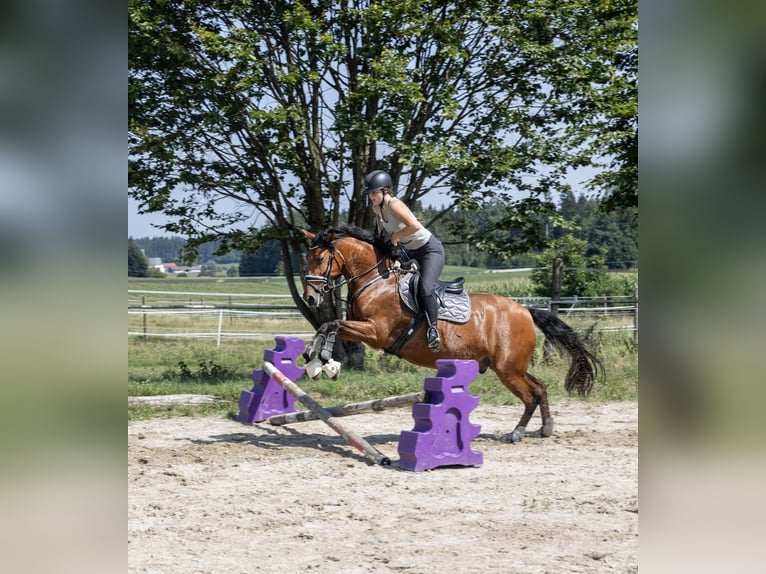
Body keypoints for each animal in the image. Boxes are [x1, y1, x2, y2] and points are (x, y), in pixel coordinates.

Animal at [300, 225, 603, 442]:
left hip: (508, 369)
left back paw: (516, 432)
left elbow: (331, 324)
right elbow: (330, 326)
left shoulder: (376, 333)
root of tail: (526, 310)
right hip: (510, 366)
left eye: (321, 258)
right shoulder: (361, 329)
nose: (310, 298)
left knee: (530, 396)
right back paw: (546, 428)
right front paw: (318, 359)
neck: (376, 281)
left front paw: (321, 359)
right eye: (307, 258)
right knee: (540, 388)